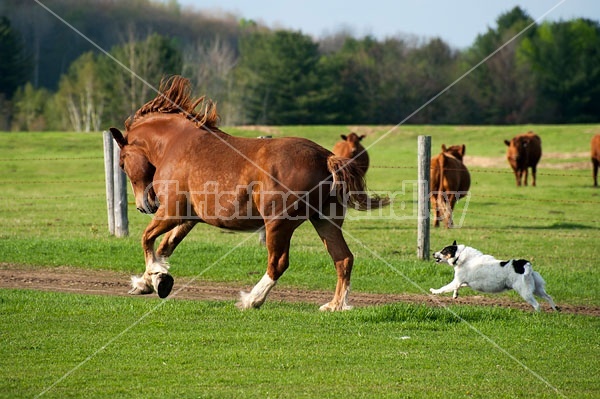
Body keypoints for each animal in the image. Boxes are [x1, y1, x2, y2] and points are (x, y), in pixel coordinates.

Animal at [109, 76, 386, 312]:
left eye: (121, 163)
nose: (144, 205)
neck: (175, 144)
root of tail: (325, 157)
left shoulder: (171, 212)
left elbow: (146, 239)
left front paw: (157, 276)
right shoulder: (189, 218)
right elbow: (165, 246)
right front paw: (149, 281)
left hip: (279, 224)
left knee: (278, 263)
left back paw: (252, 300)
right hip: (325, 220)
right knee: (343, 258)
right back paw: (334, 305)